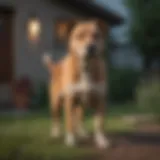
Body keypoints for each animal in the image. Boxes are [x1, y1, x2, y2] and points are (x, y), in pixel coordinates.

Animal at [42, 19, 109, 149]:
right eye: (79, 36)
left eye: (96, 35)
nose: (91, 47)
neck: (86, 67)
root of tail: (57, 66)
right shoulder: (70, 101)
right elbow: (69, 122)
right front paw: (71, 140)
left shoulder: (100, 100)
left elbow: (99, 123)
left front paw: (101, 140)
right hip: (55, 103)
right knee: (56, 118)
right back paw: (55, 133)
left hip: (80, 105)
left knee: (79, 118)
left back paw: (82, 132)